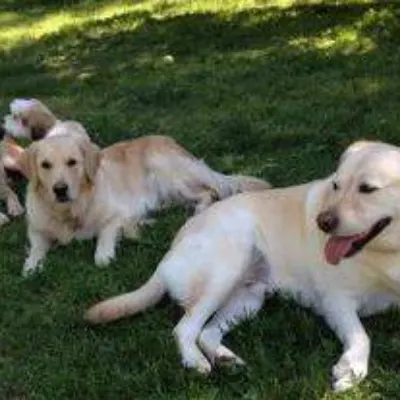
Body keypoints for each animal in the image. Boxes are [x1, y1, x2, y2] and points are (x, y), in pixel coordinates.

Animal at [20, 122, 270, 276]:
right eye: (45, 165)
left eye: (72, 162)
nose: (60, 189)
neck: (70, 211)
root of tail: (170, 140)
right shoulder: (36, 229)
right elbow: (36, 246)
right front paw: (31, 266)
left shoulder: (117, 214)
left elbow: (105, 234)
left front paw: (103, 254)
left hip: (166, 172)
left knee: (209, 192)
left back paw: (196, 213)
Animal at [86, 141, 400, 394]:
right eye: (336, 185)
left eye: (367, 189)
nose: (322, 222)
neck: (388, 252)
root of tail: (167, 255)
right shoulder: (336, 300)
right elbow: (362, 335)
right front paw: (352, 367)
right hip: (228, 265)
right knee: (184, 328)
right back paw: (195, 361)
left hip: (249, 297)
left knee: (207, 332)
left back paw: (225, 358)